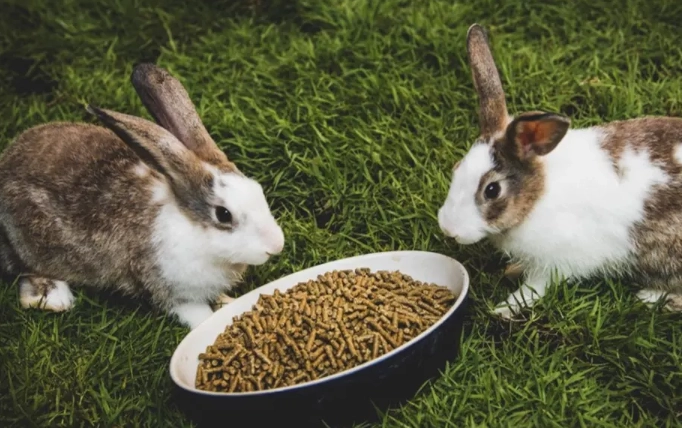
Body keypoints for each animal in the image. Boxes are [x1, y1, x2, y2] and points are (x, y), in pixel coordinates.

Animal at [0, 63, 285, 329]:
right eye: (223, 214)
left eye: (258, 190)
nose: (276, 245)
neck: (192, 229)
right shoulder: (170, 289)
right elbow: (195, 313)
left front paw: (228, 301)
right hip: (30, 245)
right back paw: (54, 297)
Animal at [437, 24, 682, 319]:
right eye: (456, 169)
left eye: (492, 190)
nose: (448, 229)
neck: (537, 196)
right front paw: (513, 270)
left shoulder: (556, 263)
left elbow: (534, 289)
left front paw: (503, 308)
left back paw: (651, 297)